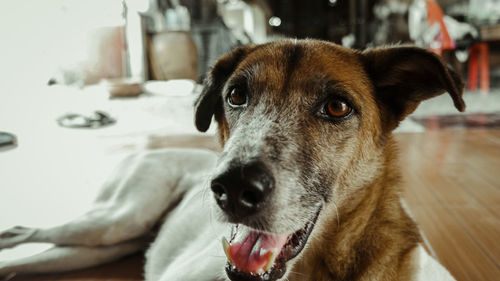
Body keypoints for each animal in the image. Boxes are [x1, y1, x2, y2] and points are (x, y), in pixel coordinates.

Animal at [0, 40, 464, 280]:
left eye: (337, 107)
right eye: (236, 95)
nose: (234, 188)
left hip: (96, 246)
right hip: (116, 220)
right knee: (27, 231)